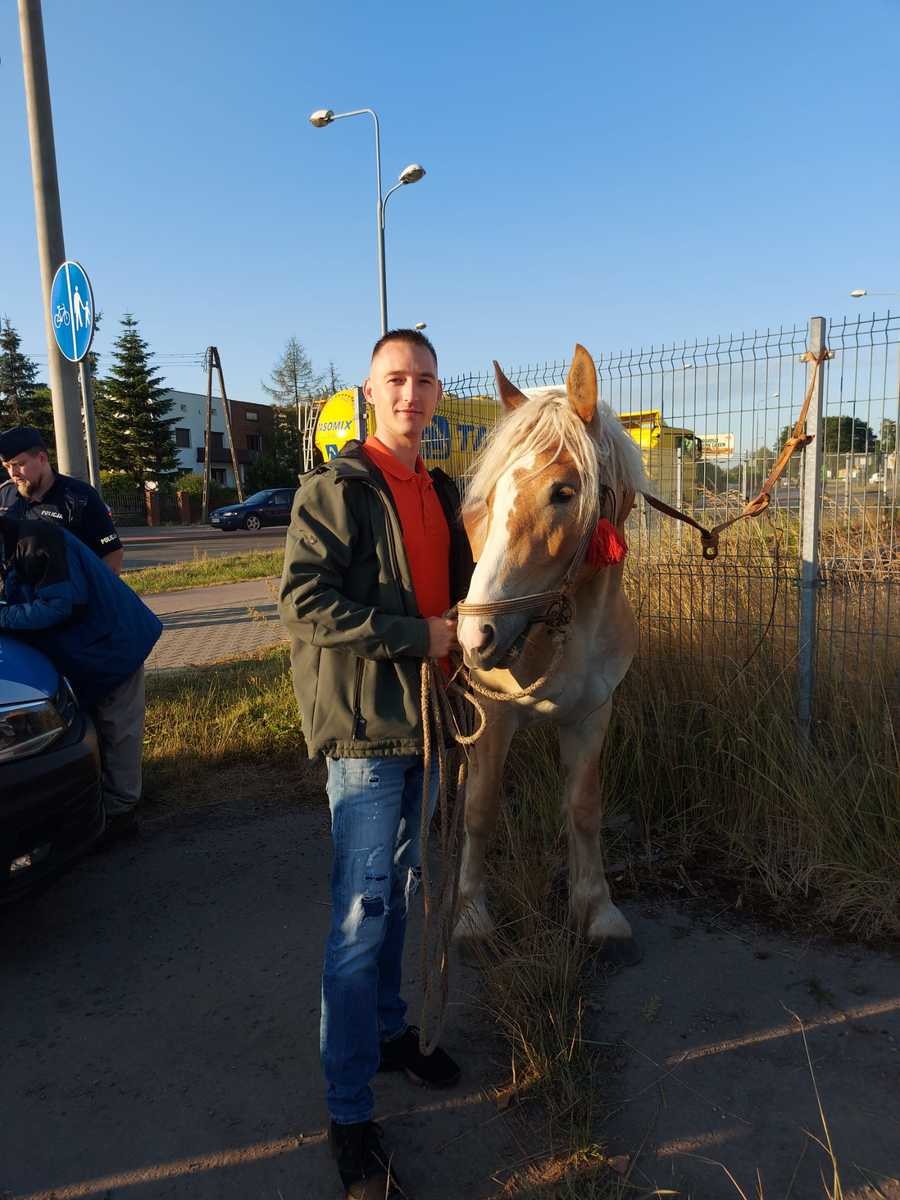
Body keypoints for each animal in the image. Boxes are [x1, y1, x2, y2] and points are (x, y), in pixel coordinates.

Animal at [458, 343, 648, 960]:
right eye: (488, 500)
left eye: (563, 491)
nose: (476, 637)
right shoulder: (492, 717)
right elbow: (481, 807)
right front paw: (470, 913)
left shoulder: (592, 713)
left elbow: (584, 808)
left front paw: (596, 907)